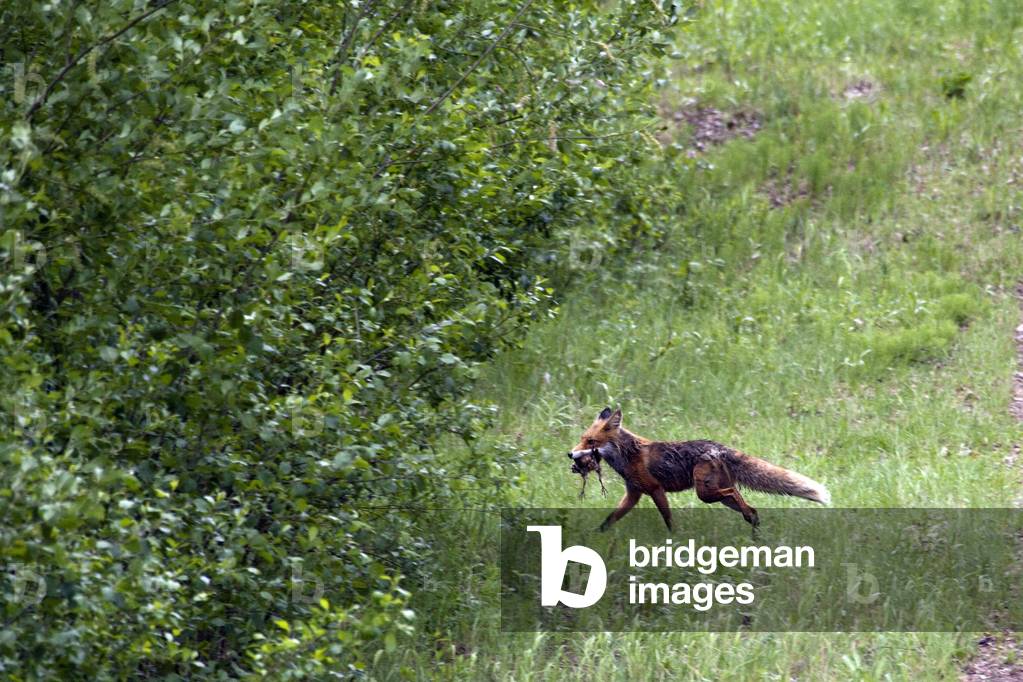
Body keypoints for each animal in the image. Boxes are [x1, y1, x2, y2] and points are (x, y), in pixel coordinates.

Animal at [567, 407, 830, 531]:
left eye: (591, 442)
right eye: (582, 439)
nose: (570, 454)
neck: (628, 455)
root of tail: (719, 447)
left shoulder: (655, 490)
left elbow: (668, 520)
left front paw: (674, 540)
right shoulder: (634, 493)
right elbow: (609, 520)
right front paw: (595, 535)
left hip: (705, 493)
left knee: (735, 495)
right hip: (716, 493)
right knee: (749, 506)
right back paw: (753, 526)